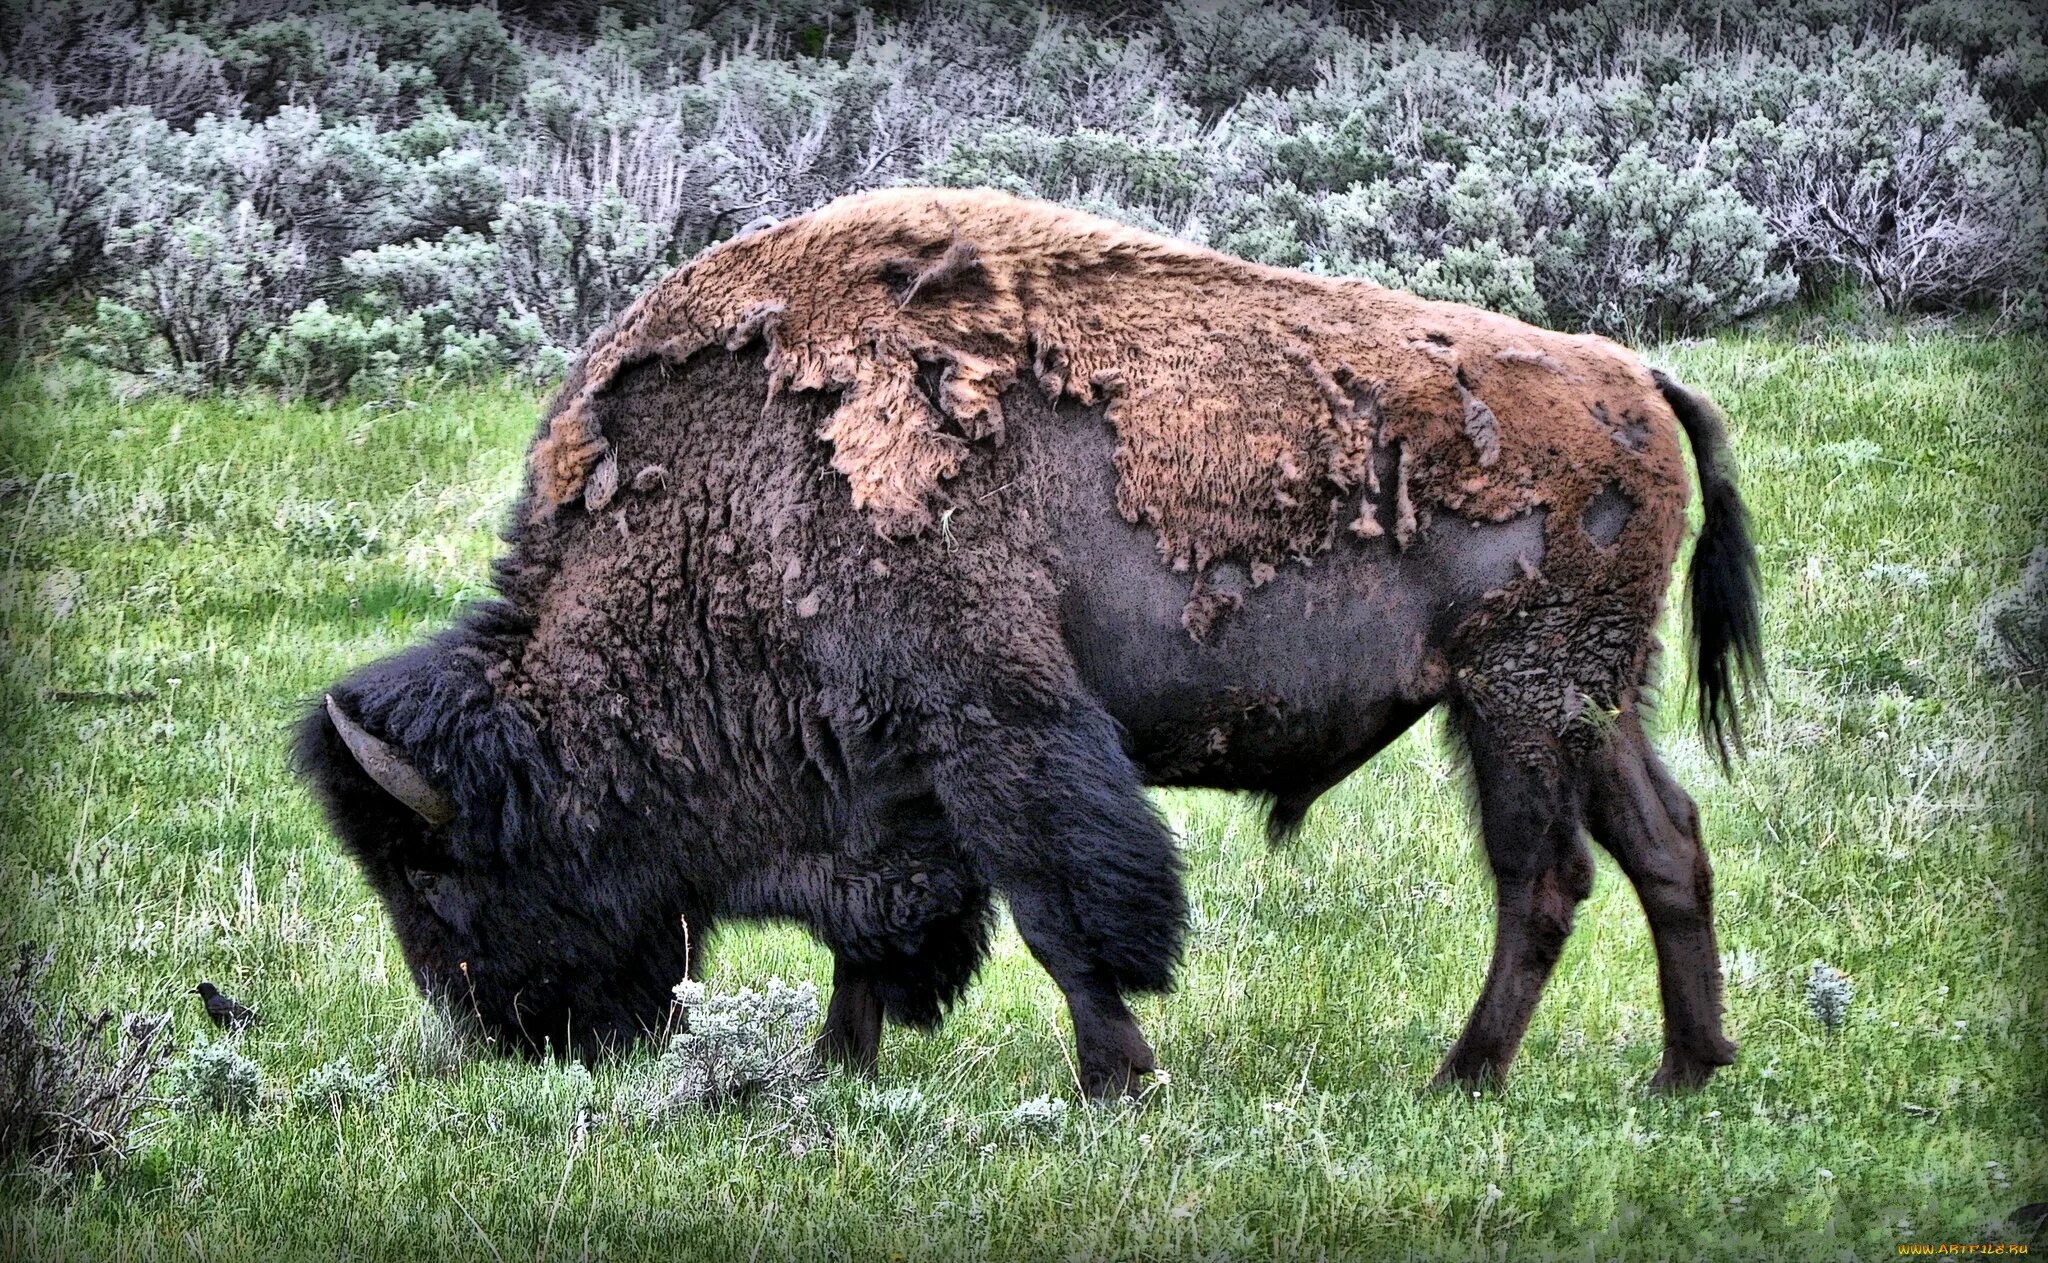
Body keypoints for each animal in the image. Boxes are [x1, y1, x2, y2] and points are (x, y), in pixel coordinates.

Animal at [299, 184, 1761, 1097]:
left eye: (441, 879)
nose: (513, 1038)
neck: (727, 491)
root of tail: (1631, 376)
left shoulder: (997, 731)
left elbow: (1064, 916)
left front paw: (1118, 1079)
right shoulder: (892, 774)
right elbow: (881, 936)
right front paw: (835, 1066)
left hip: (1517, 699)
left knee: (1544, 878)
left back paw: (1464, 1075)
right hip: (1590, 699)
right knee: (1665, 845)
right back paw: (1682, 1069)